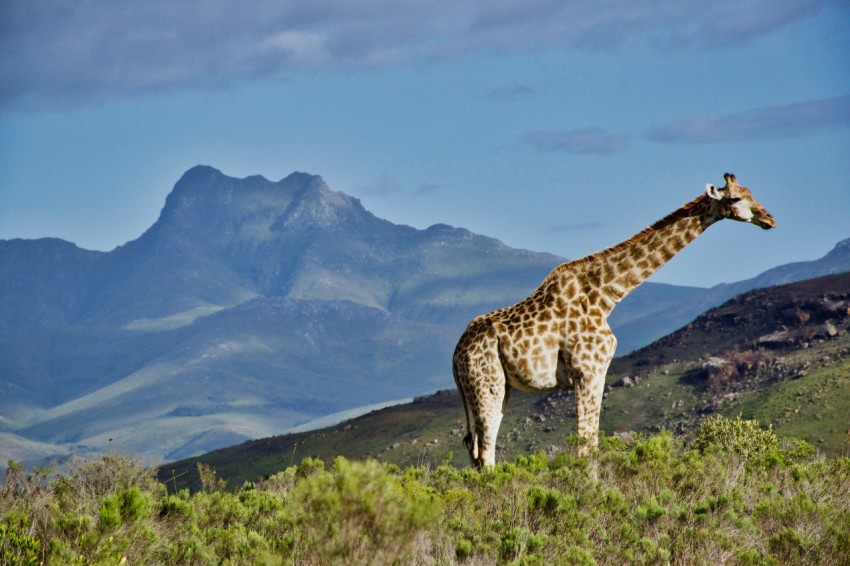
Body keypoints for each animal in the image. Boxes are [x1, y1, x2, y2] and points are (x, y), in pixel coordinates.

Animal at [452, 173, 776, 469]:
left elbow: (589, 445)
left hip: (495, 389)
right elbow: (586, 447)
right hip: (487, 385)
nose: (769, 218)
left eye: (752, 193)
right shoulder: (588, 372)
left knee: (477, 451)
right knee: (486, 452)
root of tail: (456, 356)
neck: (606, 296)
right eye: (736, 198)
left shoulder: (595, 374)